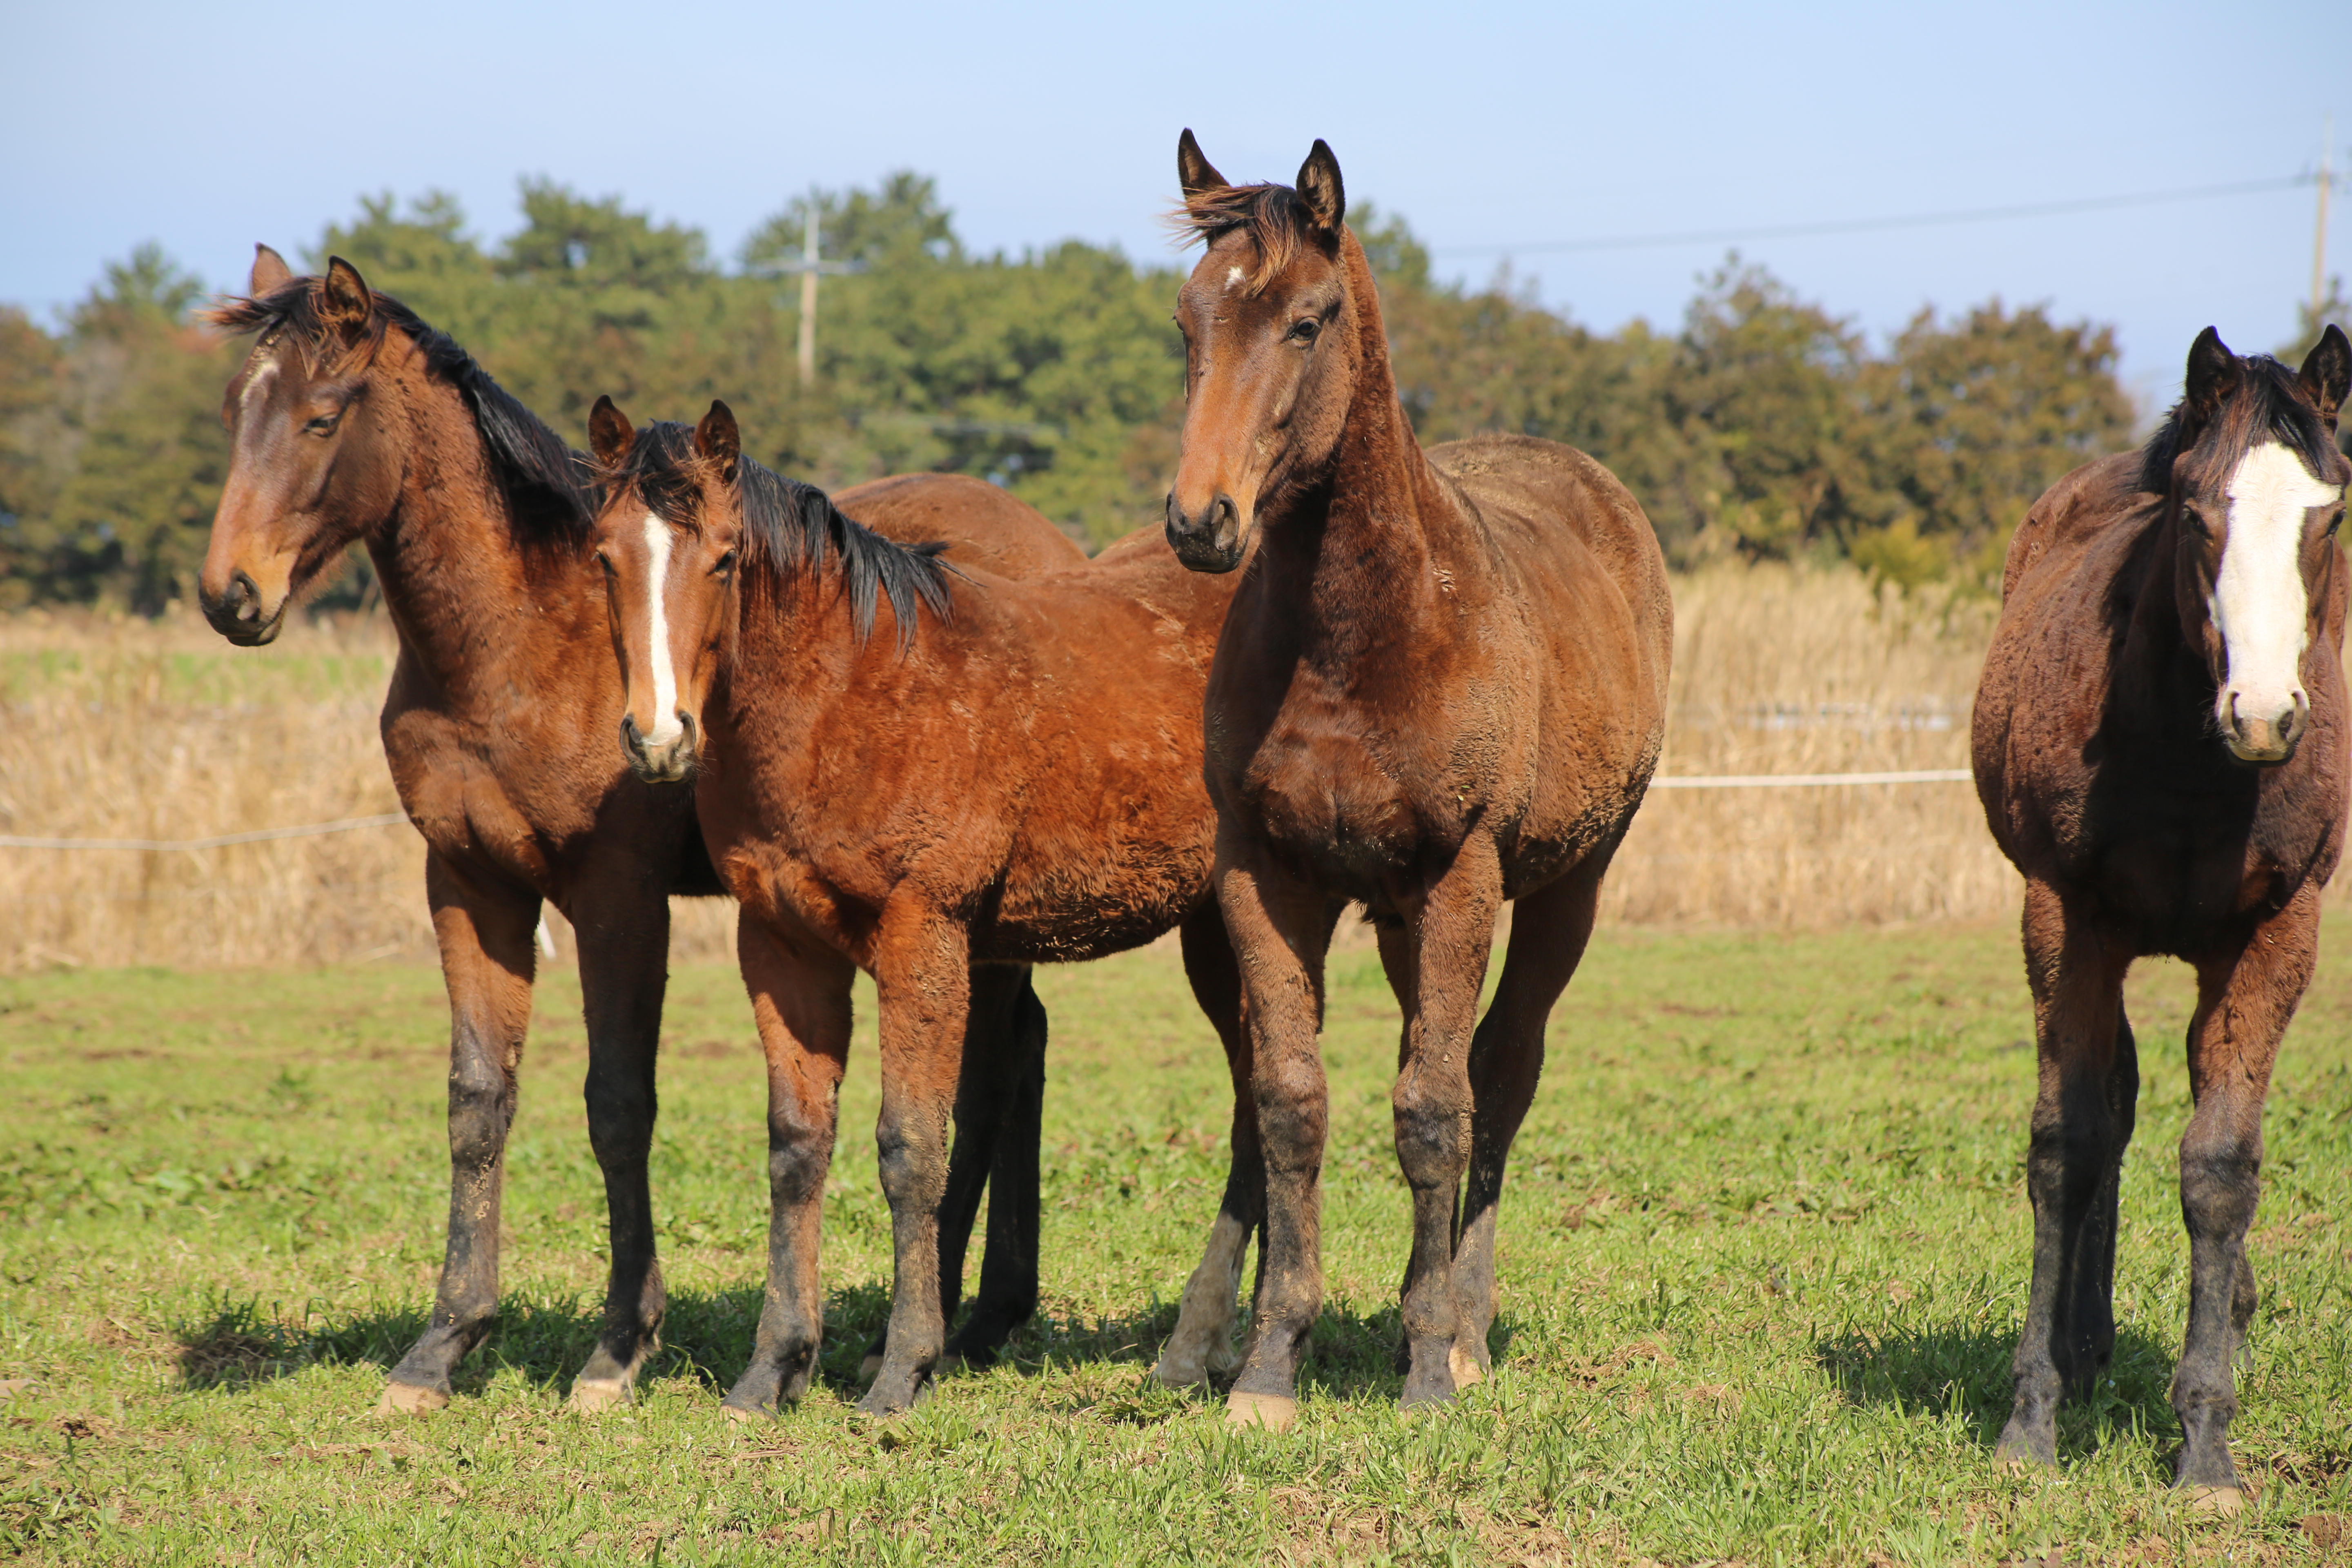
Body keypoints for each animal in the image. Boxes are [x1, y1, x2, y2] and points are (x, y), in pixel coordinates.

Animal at [200, 255, 1082, 1410]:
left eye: (321, 415)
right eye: (233, 409)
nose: (231, 594)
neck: (515, 644)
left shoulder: (618, 898)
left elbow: (618, 1104)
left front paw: (619, 1348)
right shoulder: (468, 884)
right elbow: (478, 1102)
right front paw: (443, 1344)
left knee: (997, 1064)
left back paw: (961, 1321)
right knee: (1012, 1053)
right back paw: (979, 1314)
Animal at [583, 404, 1270, 1420]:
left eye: (724, 558)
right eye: (604, 556)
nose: (659, 738)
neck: (849, 696)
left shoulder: (924, 937)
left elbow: (911, 1150)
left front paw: (902, 1367)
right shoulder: (781, 946)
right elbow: (797, 1148)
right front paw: (773, 1369)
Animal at [1157, 138, 1675, 1439]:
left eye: (1307, 320)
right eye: (1188, 320)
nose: (1200, 519)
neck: (1360, 632)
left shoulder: (1459, 875)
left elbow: (1437, 1110)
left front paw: (1434, 1364)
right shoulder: (1267, 878)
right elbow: (1290, 1102)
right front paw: (1269, 1365)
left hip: (1562, 889)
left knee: (1500, 1074)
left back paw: (1466, 1326)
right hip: (1394, 915)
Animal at [1966, 322, 2352, 1504]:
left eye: (2331, 513)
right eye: (2194, 511)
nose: (2264, 714)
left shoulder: (2276, 933)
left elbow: (2221, 1166)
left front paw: (2206, 1446)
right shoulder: (2066, 917)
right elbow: (2068, 1144)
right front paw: (2030, 1418)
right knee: (2113, 1105)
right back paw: (2082, 1342)